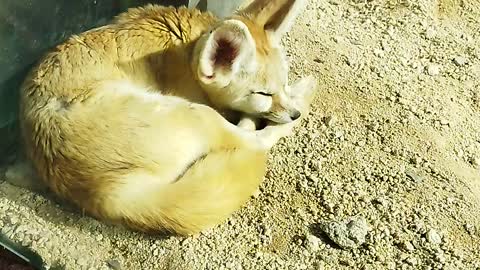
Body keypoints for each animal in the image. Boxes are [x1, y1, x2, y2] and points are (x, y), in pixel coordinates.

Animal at [18, 0, 316, 235]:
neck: (188, 48)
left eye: (283, 84)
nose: (294, 114)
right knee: (254, 141)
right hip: (193, 113)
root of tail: (106, 195)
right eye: (264, 94)